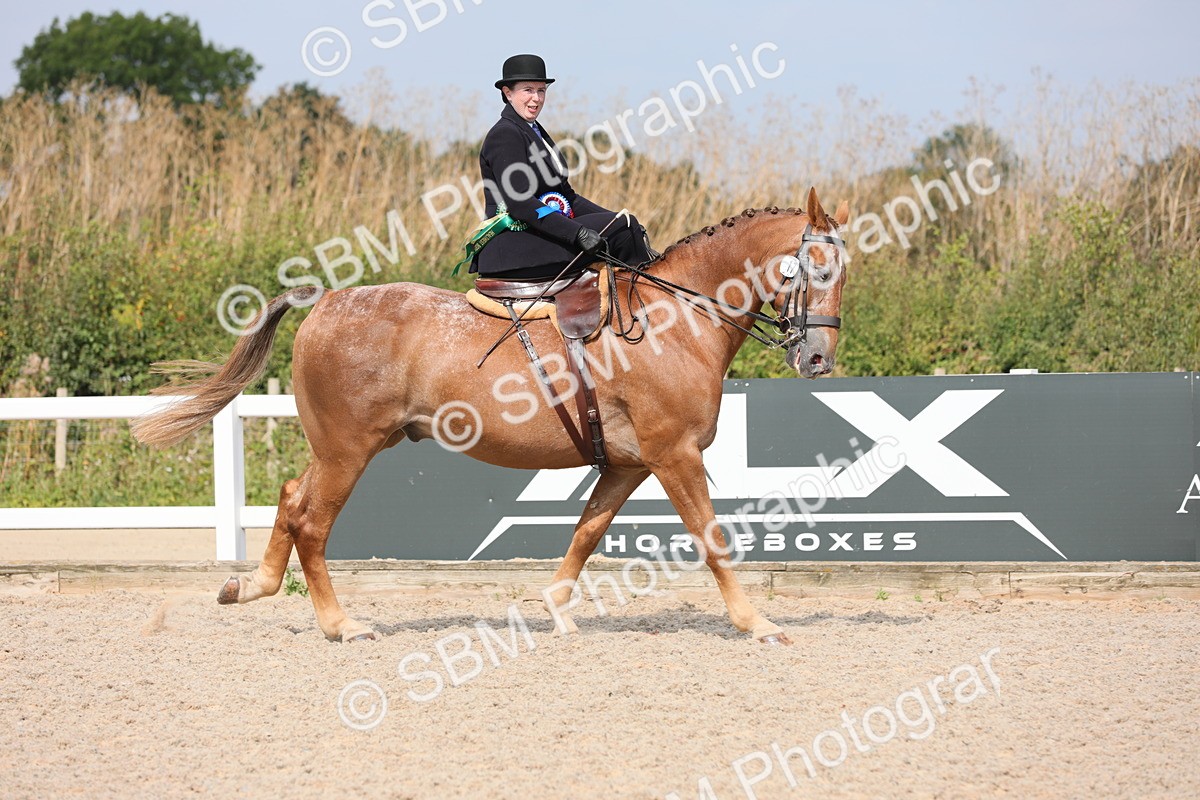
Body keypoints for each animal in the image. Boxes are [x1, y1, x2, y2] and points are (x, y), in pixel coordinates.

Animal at [132, 188, 850, 644]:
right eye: (814, 269)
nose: (817, 358)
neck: (676, 319)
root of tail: (328, 300)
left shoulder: (628, 464)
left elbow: (587, 532)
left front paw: (555, 609)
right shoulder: (674, 454)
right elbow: (711, 538)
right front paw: (757, 624)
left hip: (342, 446)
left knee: (288, 499)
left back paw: (251, 587)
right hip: (349, 450)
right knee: (312, 522)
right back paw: (340, 625)